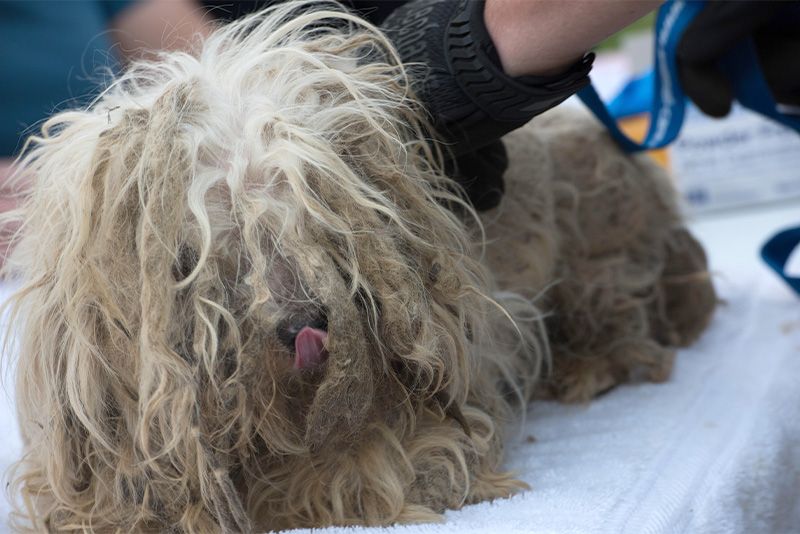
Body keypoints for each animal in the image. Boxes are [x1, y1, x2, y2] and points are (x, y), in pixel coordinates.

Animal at [0, 3, 712, 532]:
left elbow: (365, 469)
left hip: (599, 240)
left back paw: (591, 362)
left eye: (314, 220)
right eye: (211, 249)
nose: (303, 324)